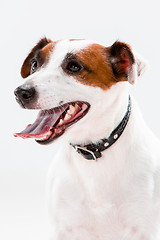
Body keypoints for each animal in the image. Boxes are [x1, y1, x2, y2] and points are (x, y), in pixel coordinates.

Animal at [13, 38, 160, 239]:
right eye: (35, 64)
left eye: (74, 67)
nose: (20, 92)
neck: (92, 151)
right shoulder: (64, 228)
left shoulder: (144, 230)